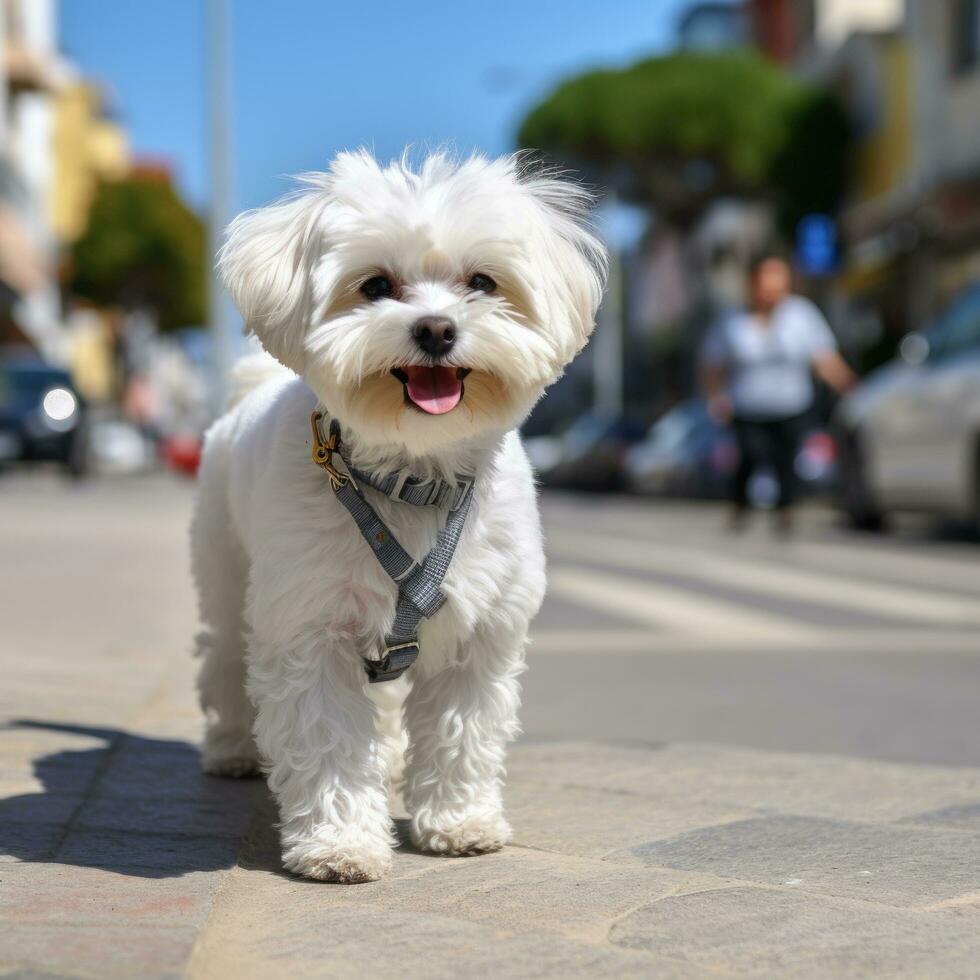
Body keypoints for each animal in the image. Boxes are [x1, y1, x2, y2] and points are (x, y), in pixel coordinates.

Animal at [190, 151, 604, 880]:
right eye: (376, 285)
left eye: (481, 282)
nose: (436, 329)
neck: (412, 483)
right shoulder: (310, 627)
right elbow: (328, 738)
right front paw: (339, 842)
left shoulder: (481, 635)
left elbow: (462, 732)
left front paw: (460, 821)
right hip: (228, 571)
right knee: (224, 655)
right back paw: (234, 747)